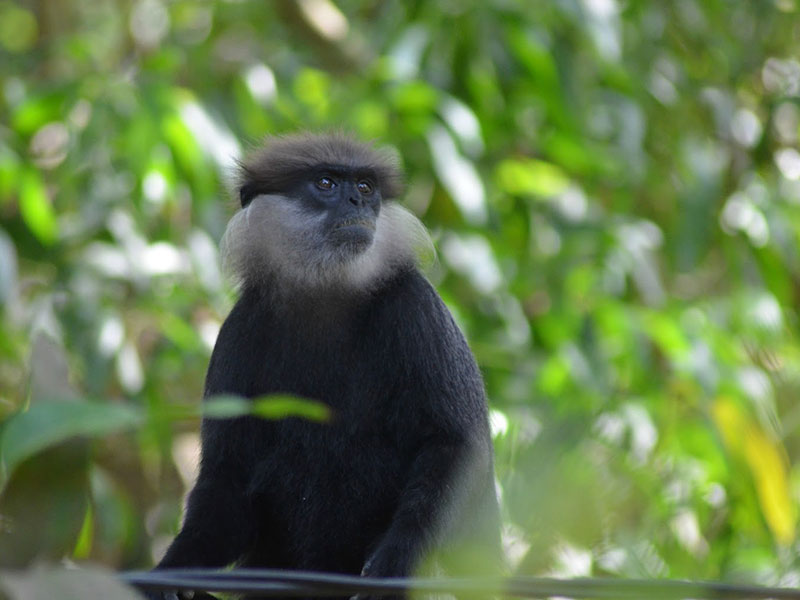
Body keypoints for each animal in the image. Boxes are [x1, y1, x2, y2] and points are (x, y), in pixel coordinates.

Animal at [146, 133, 502, 599]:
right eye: (327, 183)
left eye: (366, 187)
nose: (355, 201)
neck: (327, 291)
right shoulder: (239, 329)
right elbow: (229, 481)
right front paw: (172, 571)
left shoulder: (415, 305)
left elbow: (454, 444)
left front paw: (393, 564)